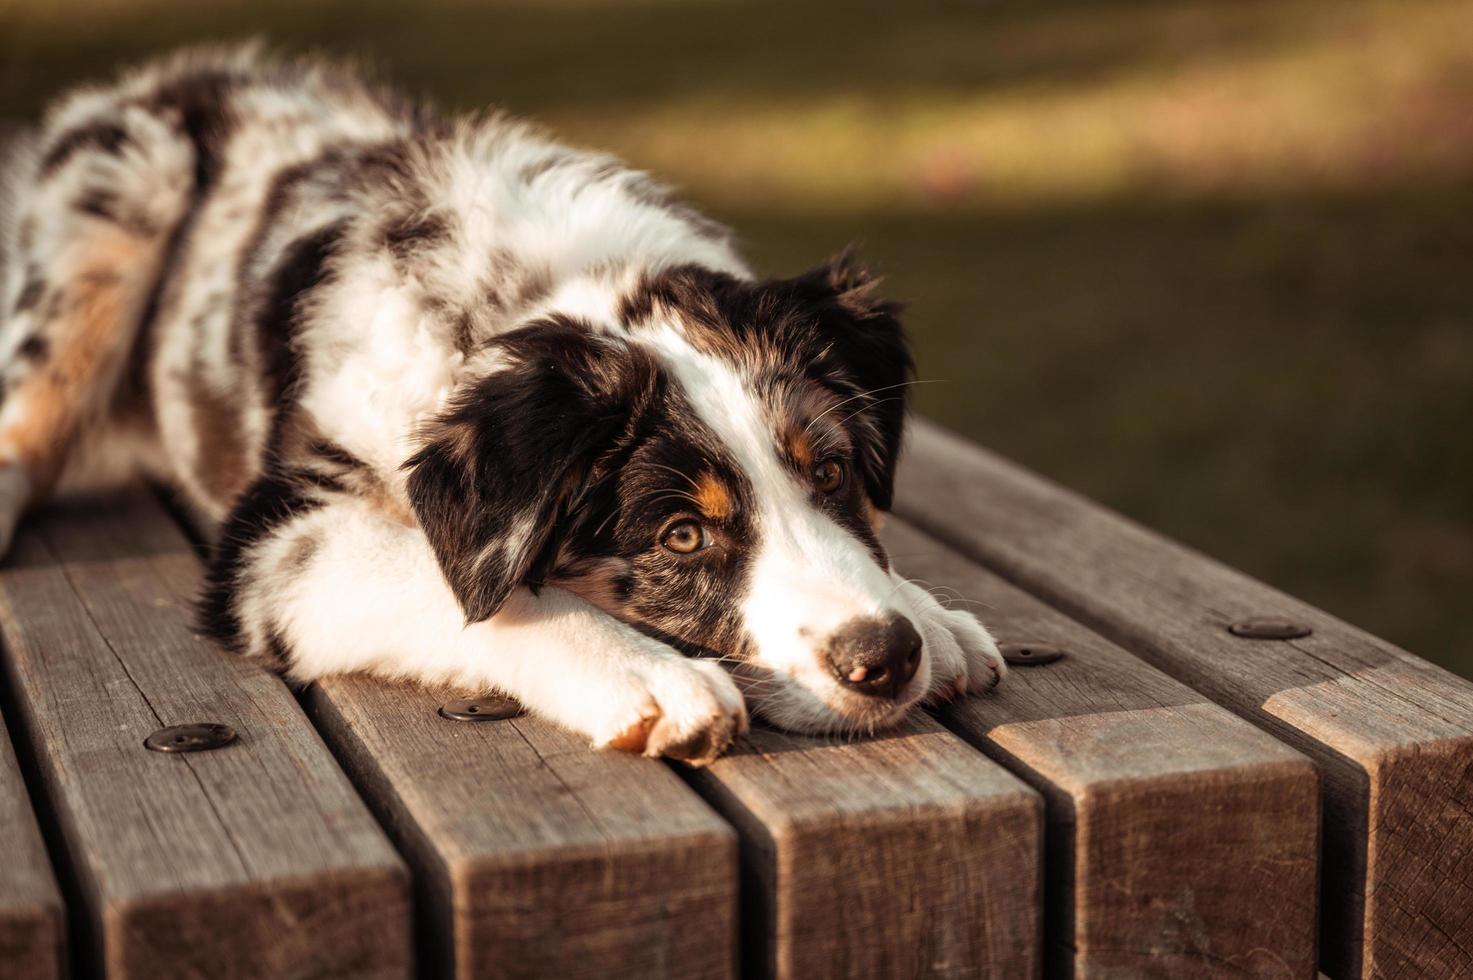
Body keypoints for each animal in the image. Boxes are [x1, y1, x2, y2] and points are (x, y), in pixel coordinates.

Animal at [0, 45, 1001, 766]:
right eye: (681, 536)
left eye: (830, 471)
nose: (883, 656)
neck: (536, 293)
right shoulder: (273, 534)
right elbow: (450, 581)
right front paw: (649, 677)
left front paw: (933, 617)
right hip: (118, 196)